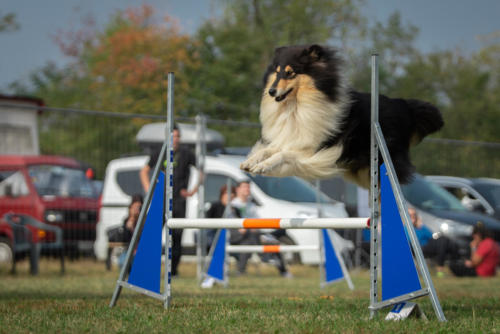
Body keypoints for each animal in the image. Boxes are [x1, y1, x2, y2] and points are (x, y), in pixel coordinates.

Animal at [240, 45, 444, 188]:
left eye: (290, 73)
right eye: (277, 72)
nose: (271, 92)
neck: (297, 108)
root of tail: (403, 105)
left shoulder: (310, 151)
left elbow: (281, 155)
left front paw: (262, 166)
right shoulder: (289, 140)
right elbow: (267, 151)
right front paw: (249, 163)